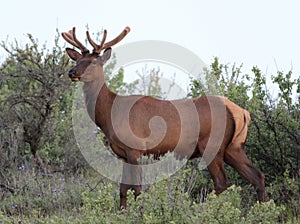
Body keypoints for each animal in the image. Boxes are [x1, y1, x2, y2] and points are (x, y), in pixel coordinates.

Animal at [60, 25, 264, 208]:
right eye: (78, 60)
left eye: (94, 62)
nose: (72, 72)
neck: (110, 114)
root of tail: (241, 112)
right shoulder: (123, 153)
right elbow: (123, 190)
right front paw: (122, 213)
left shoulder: (136, 148)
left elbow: (137, 189)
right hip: (233, 147)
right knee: (257, 176)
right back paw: (262, 210)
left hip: (211, 144)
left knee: (222, 183)